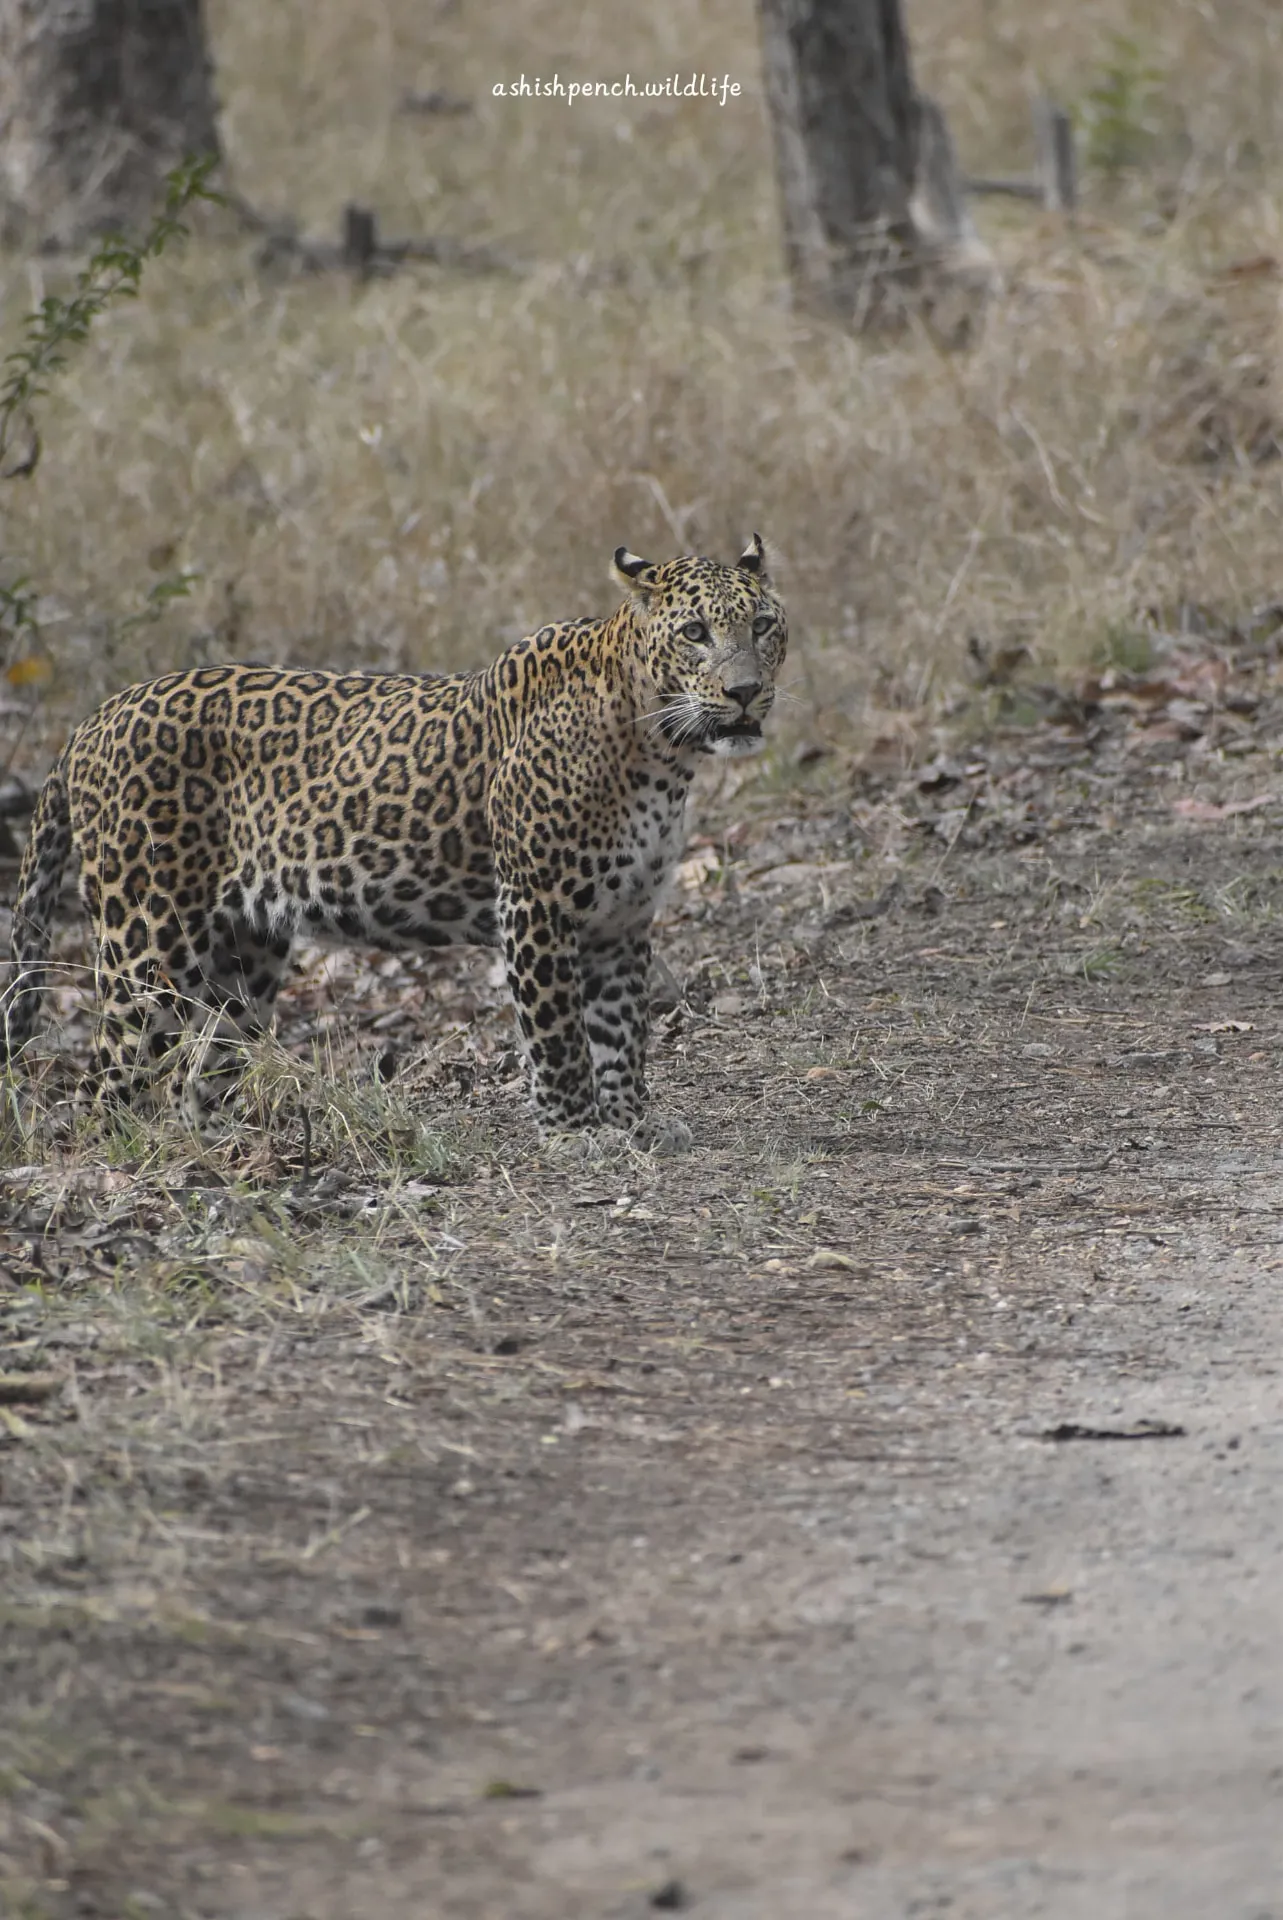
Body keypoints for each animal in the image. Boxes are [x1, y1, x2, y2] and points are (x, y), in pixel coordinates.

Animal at [0, 537, 787, 1144]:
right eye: (694, 633)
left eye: (764, 626)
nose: (746, 692)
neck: (661, 750)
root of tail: (91, 721)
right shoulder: (537, 906)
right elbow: (560, 1032)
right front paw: (575, 1131)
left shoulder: (620, 920)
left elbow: (621, 1029)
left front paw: (629, 1122)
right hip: (147, 943)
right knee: (108, 1081)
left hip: (243, 957)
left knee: (194, 1074)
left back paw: (216, 1148)